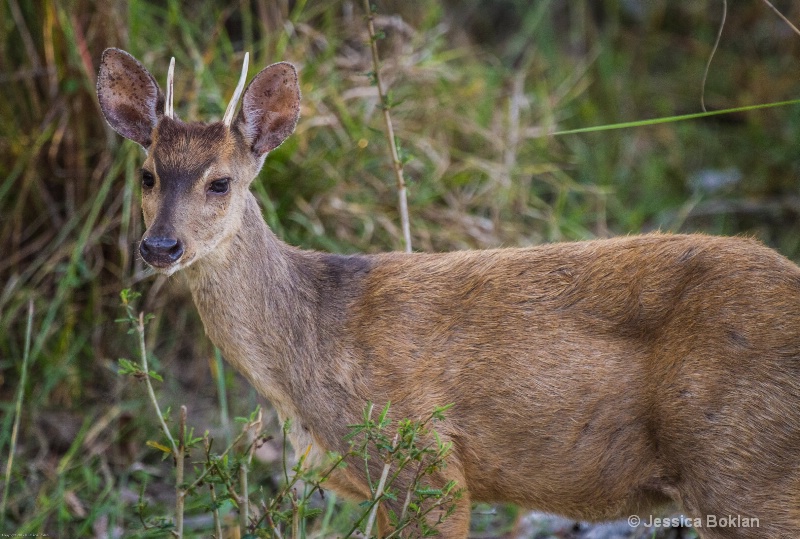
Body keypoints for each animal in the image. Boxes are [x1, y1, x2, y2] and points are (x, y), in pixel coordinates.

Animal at [97, 48, 800, 536]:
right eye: (147, 174)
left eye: (220, 182)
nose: (160, 247)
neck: (308, 347)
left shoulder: (423, 457)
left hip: (742, 459)